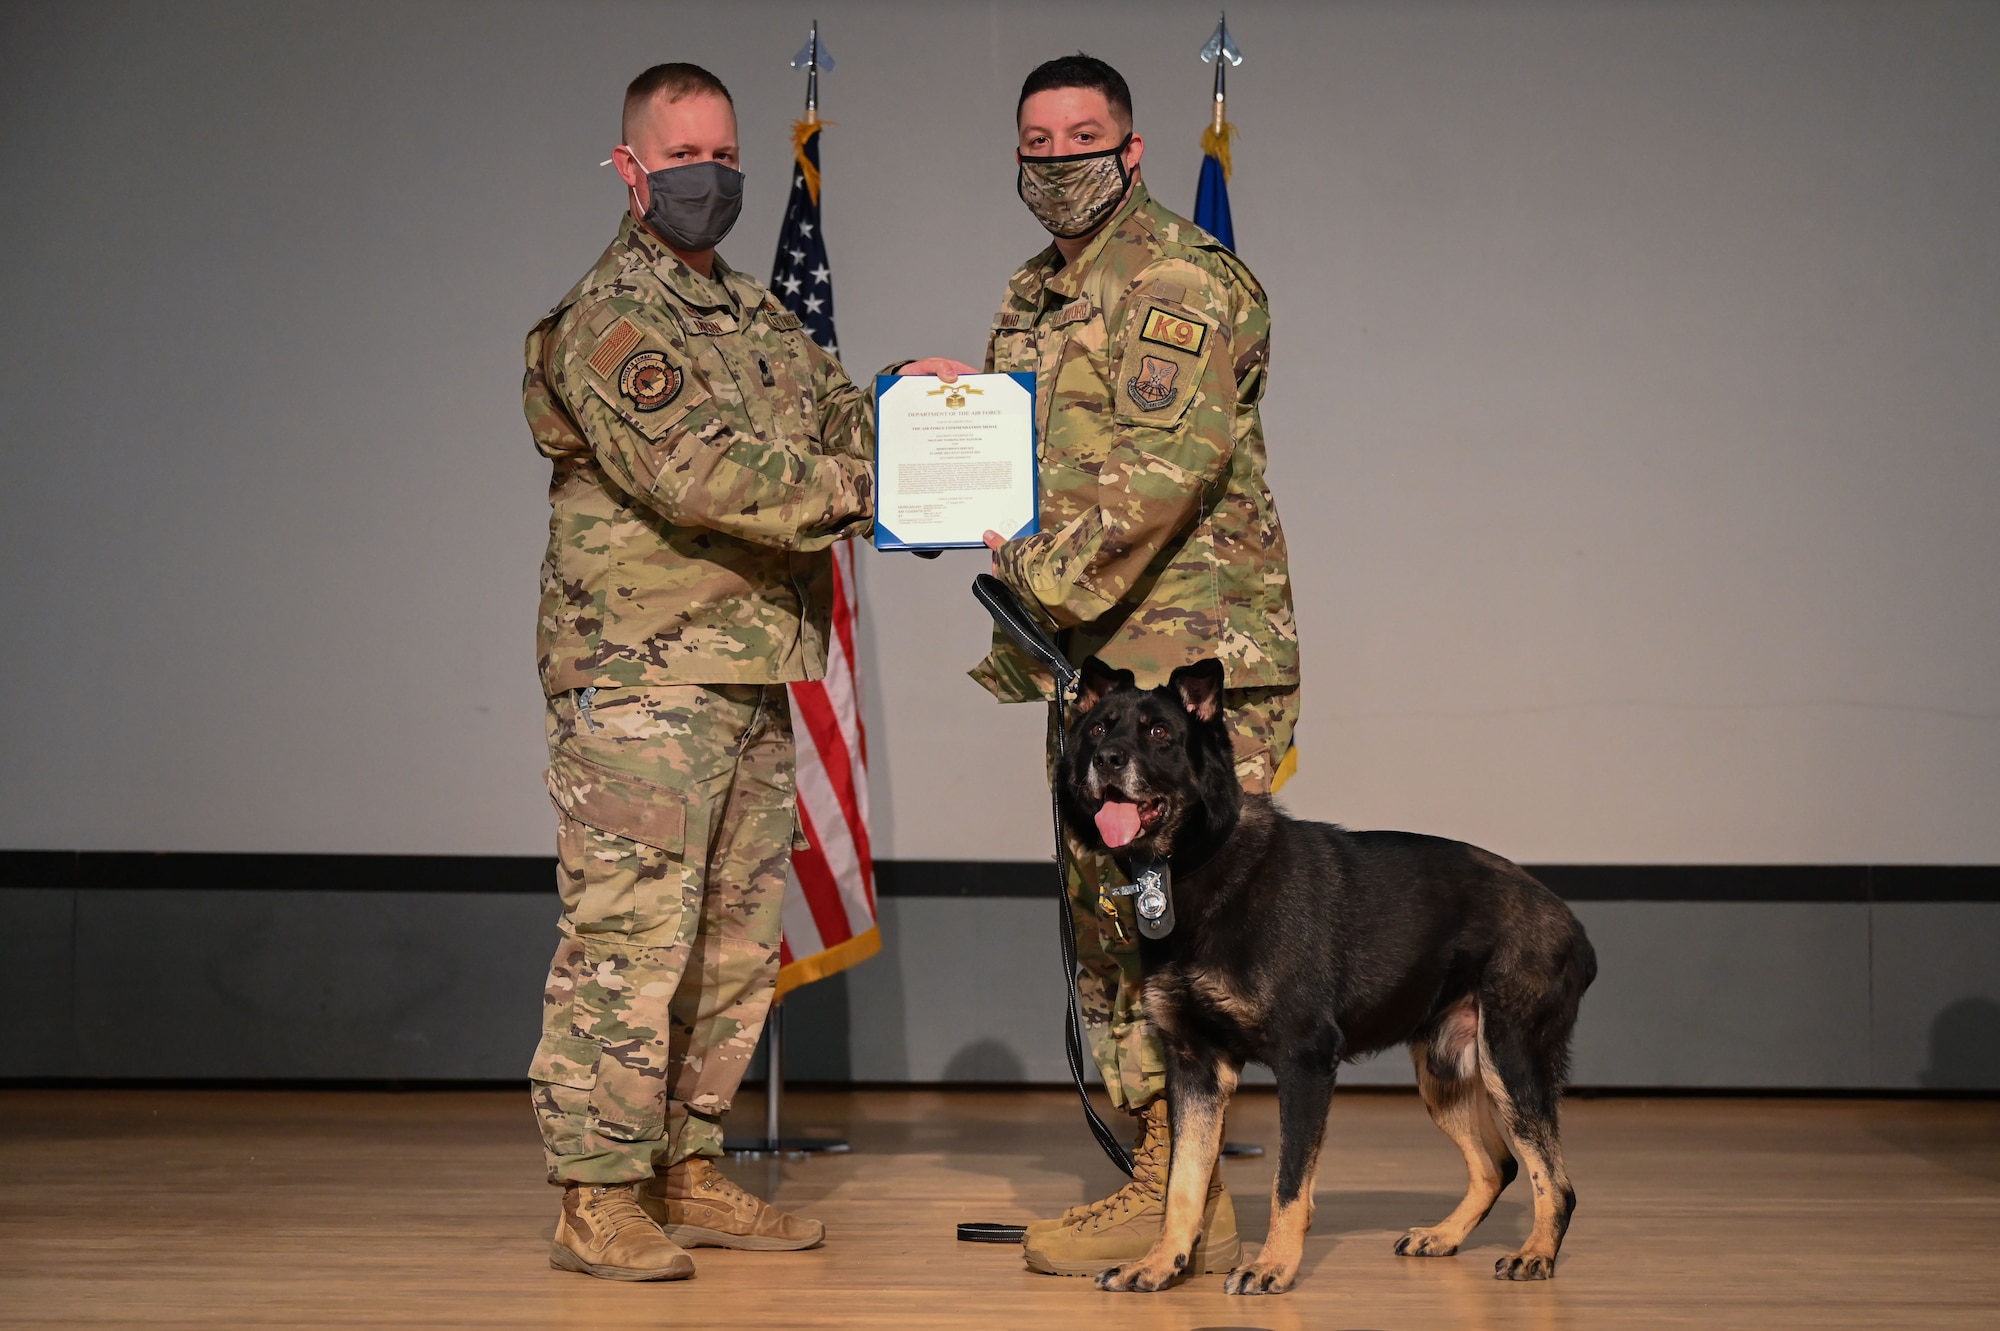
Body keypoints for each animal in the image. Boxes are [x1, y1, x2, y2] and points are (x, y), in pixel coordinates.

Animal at [1072, 659, 1600, 1287]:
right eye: (1098, 730)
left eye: (1158, 733)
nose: (1107, 761)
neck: (1199, 863)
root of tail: (1572, 926)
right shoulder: (1196, 1067)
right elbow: (1184, 1183)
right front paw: (1159, 1265)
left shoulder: (1304, 1062)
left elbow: (1288, 1182)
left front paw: (1273, 1266)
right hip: (1444, 1071)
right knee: (1498, 1165)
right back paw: (1444, 1236)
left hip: (1511, 1063)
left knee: (1556, 1181)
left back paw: (1535, 1253)